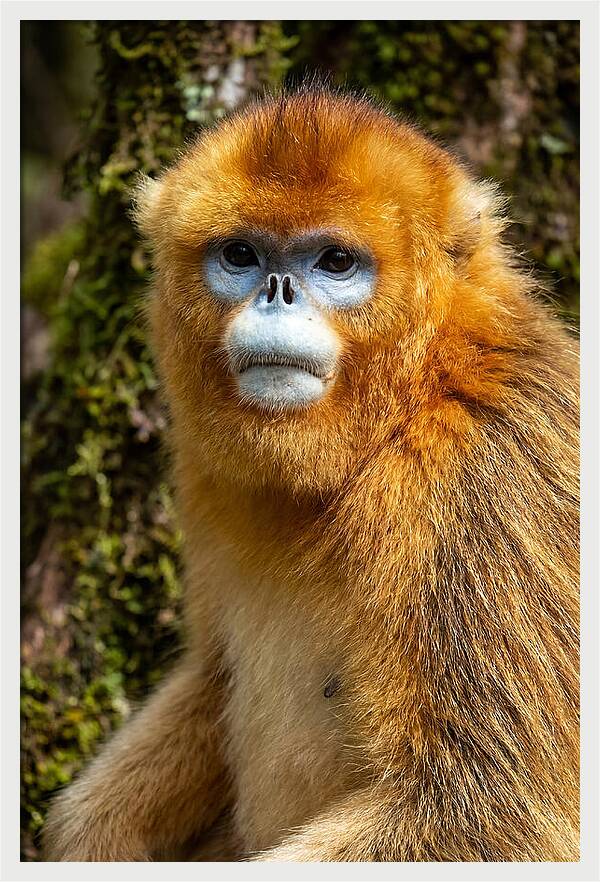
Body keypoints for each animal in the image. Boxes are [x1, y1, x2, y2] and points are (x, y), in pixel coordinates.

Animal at [43, 87, 579, 862]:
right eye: (241, 254)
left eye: (334, 262)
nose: (277, 290)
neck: (406, 409)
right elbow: (211, 677)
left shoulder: (490, 475)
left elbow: (491, 814)